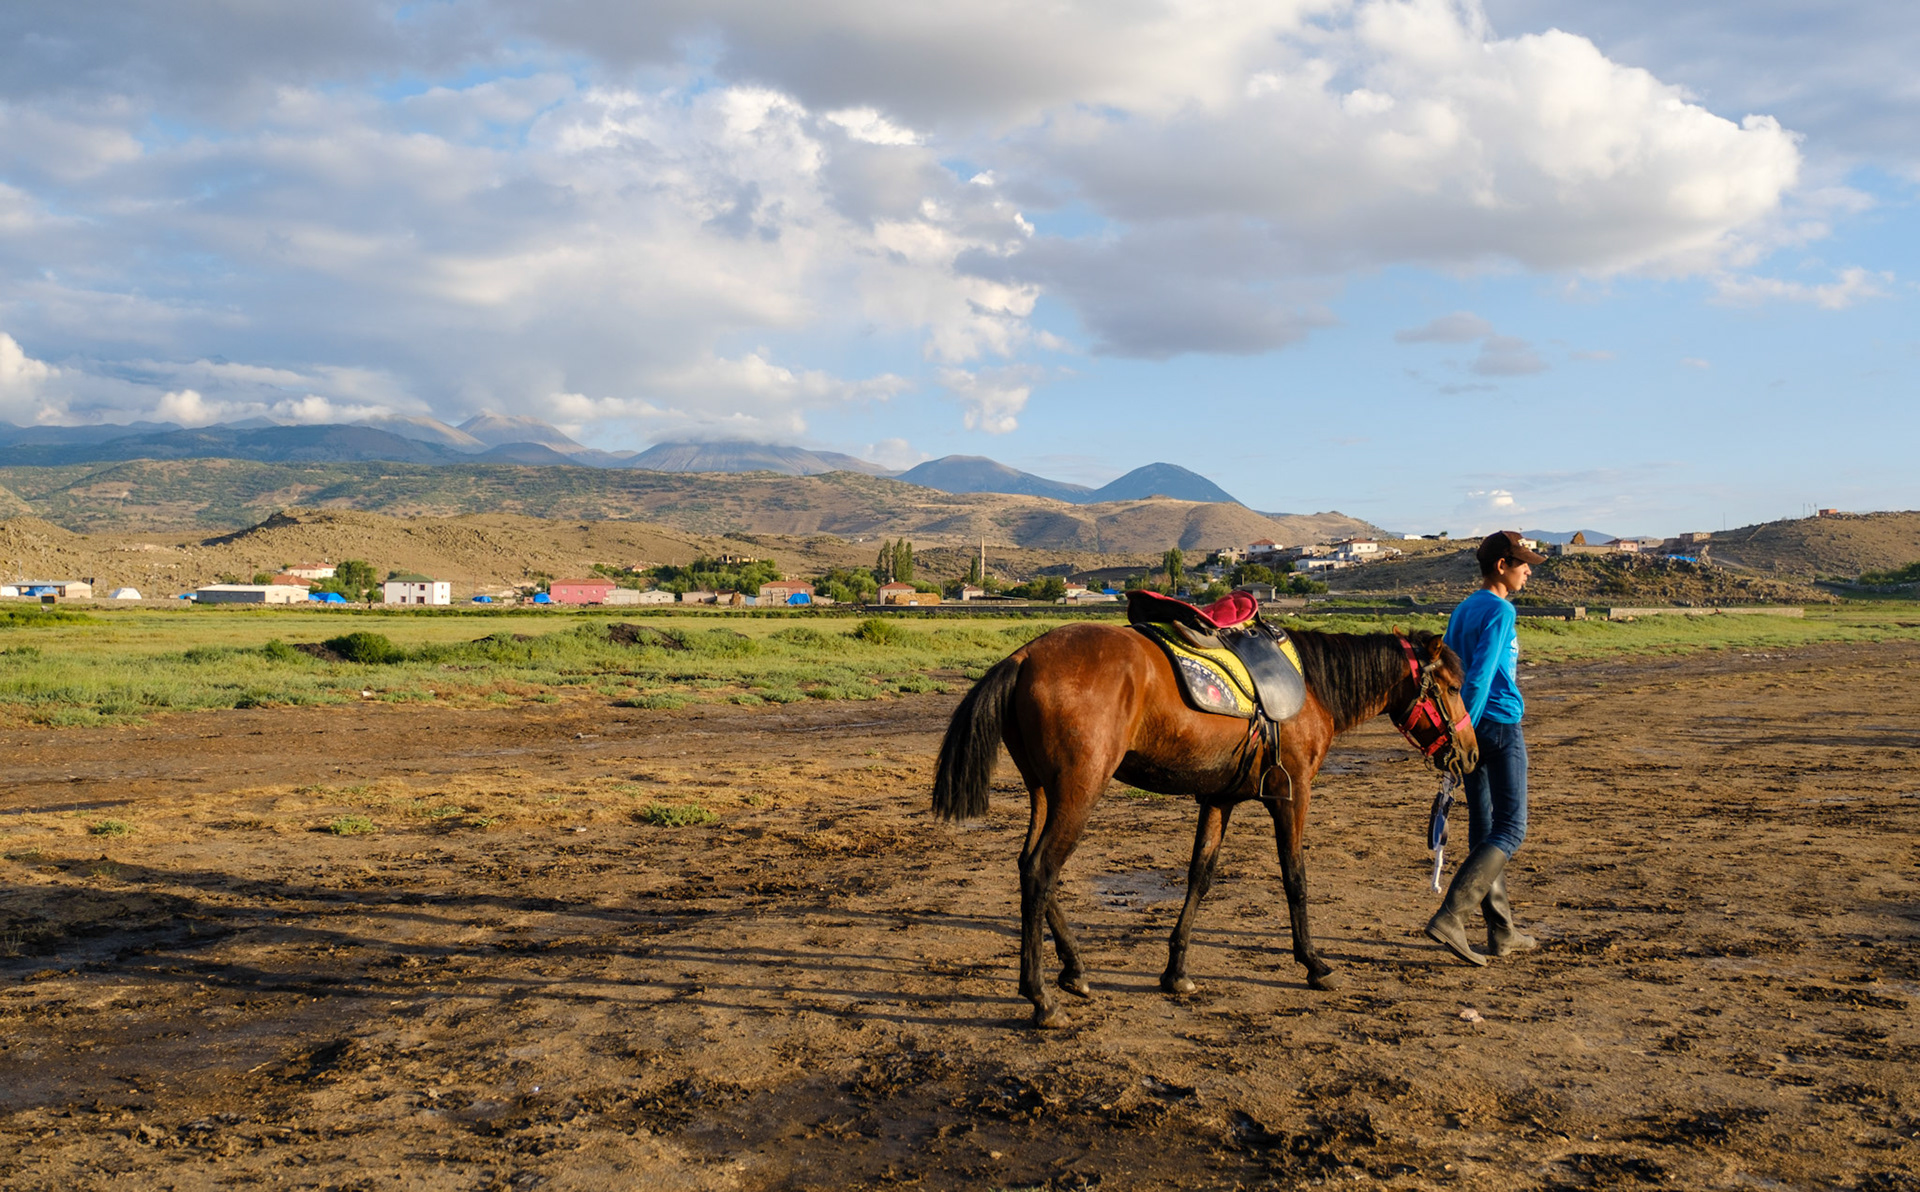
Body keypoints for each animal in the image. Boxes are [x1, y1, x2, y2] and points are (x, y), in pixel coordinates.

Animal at [930, 619, 1476, 1028]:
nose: (1470, 756)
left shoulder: (1219, 798)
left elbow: (1200, 876)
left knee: (1029, 868)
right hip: (1079, 790)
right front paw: (1314, 963)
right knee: (1043, 871)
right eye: (1451, 687)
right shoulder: (1292, 794)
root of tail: (1023, 657)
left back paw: (1075, 970)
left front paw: (1176, 971)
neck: (1312, 689)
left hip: (1045, 792)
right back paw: (1042, 997)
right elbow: (1295, 878)